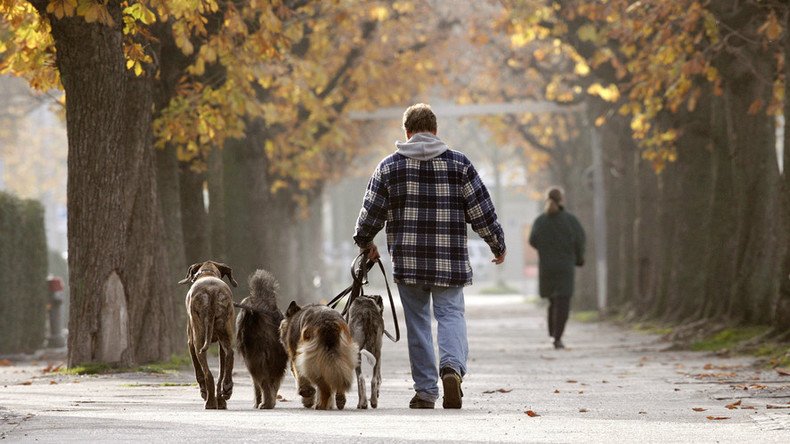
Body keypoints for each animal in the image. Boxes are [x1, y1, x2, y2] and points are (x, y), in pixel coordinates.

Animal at [237, 268, 290, 408]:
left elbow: (256, 384)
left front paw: (256, 402)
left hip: (254, 357)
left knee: (263, 381)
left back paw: (265, 403)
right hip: (276, 357)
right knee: (274, 380)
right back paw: (270, 402)